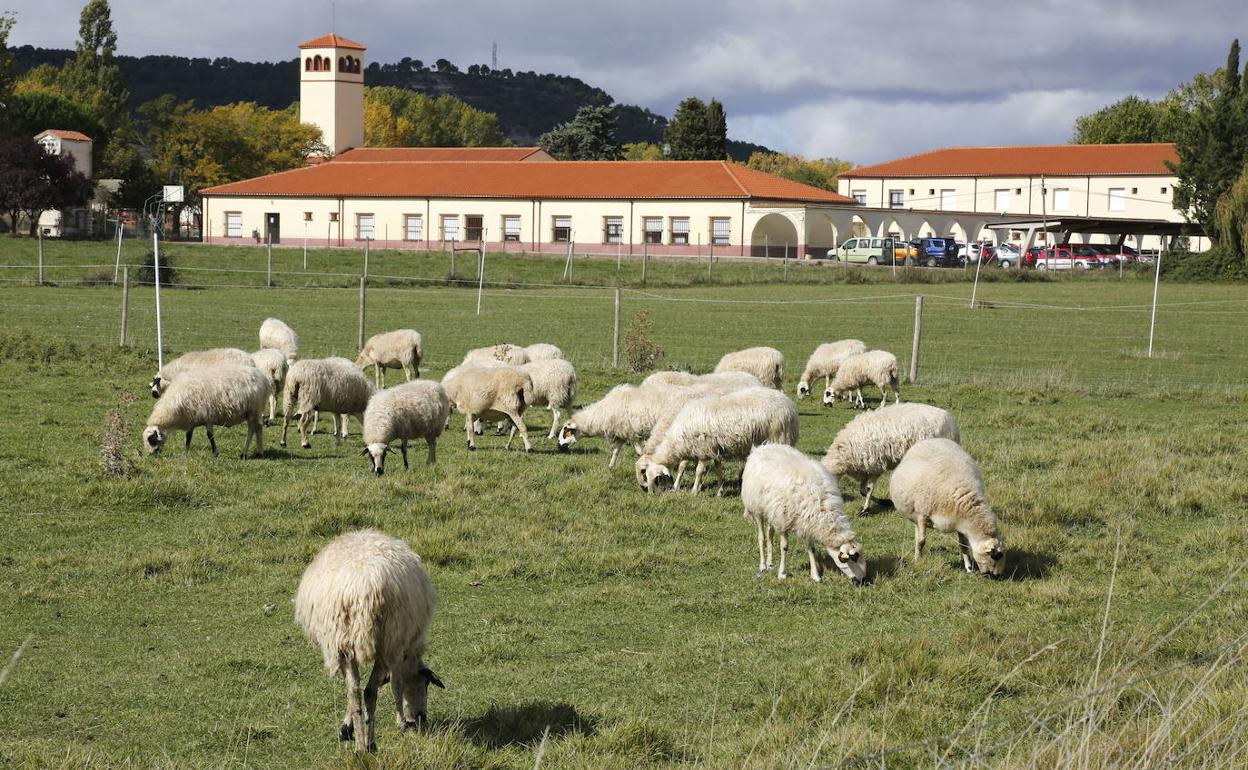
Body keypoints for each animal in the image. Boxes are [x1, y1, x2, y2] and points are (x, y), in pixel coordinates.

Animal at [293, 529, 444, 748]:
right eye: (425, 684)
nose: (420, 720)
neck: (409, 657)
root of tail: (362, 590)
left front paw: (346, 729)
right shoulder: (398, 651)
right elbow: (396, 685)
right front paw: (401, 722)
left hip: (342, 642)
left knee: (355, 691)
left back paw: (361, 746)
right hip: (386, 641)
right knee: (370, 691)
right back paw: (370, 743)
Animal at [643, 384, 798, 499]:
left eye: (657, 478)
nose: (650, 494)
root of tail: (789, 403)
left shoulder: (704, 449)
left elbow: (699, 471)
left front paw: (694, 491)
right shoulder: (715, 449)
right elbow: (718, 471)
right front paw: (719, 492)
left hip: (778, 435)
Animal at [738, 444, 868, 581]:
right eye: (852, 559)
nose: (862, 581)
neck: (822, 507)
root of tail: (760, 448)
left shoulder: (808, 522)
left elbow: (811, 549)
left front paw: (815, 575)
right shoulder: (784, 520)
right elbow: (784, 547)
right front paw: (782, 573)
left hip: (771, 510)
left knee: (770, 534)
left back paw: (770, 563)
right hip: (757, 508)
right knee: (761, 537)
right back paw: (763, 565)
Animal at [823, 399, 958, 514]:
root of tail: (951, 422)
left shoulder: (875, 467)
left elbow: (869, 489)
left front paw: (866, 509)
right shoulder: (865, 470)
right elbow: (862, 490)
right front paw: (885, 502)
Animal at [888, 439, 1003, 576]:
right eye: (993, 556)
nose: (997, 575)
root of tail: (932, 439)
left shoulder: (961, 523)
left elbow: (963, 545)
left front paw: (969, 568)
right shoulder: (922, 513)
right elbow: (922, 541)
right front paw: (919, 562)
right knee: (918, 538)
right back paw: (917, 557)